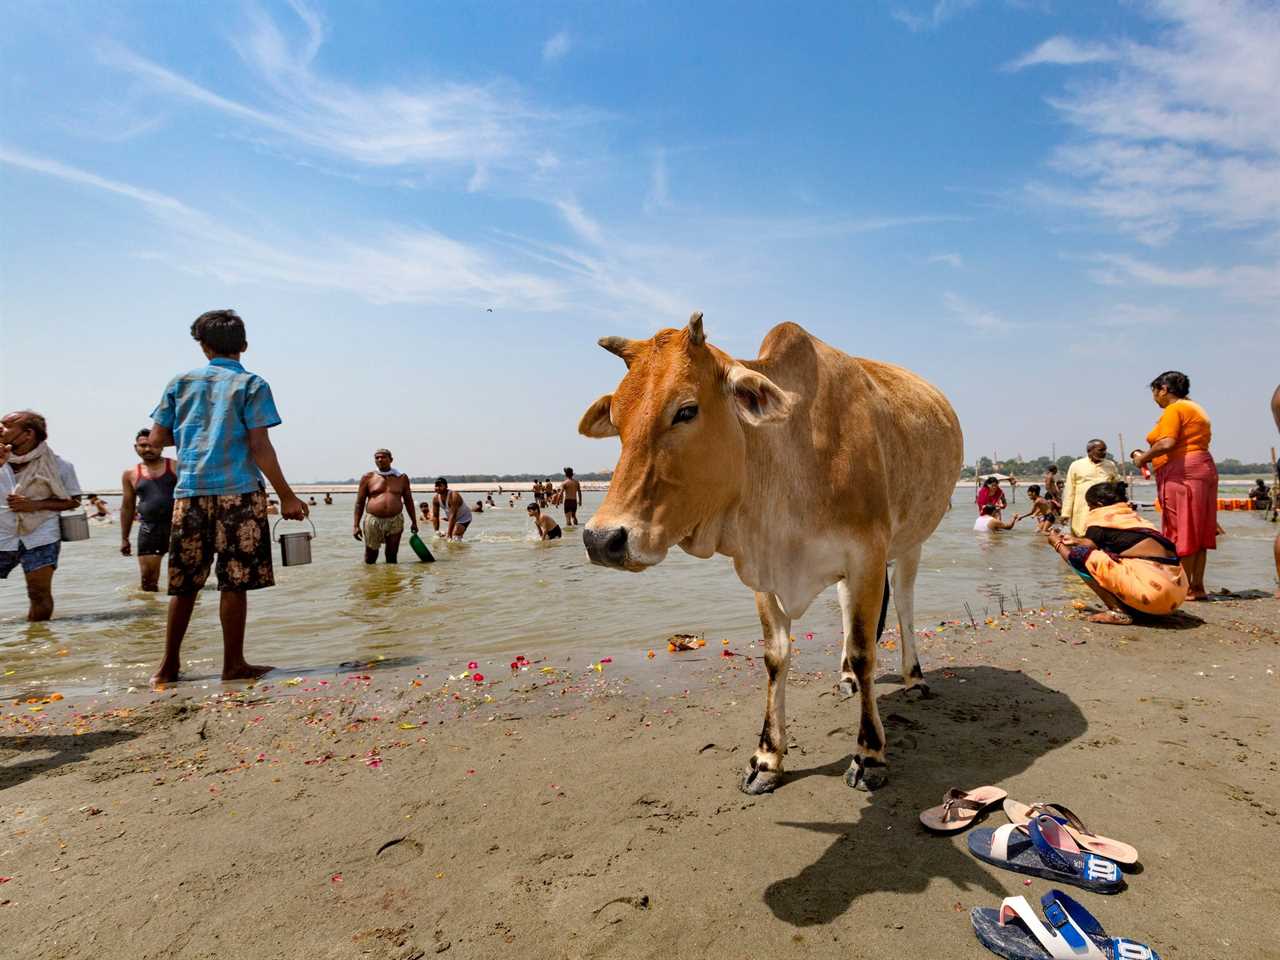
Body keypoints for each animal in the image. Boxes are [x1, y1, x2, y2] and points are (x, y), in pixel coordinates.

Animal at [581, 312, 962, 793]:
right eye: (617, 418)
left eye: (686, 410)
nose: (601, 540)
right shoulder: (762, 570)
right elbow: (776, 655)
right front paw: (767, 757)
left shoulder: (867, 556)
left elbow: (864, 651)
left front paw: (869, 754)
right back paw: (845, 678)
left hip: (911, 541)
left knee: (906, 604)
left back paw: (914, 676)